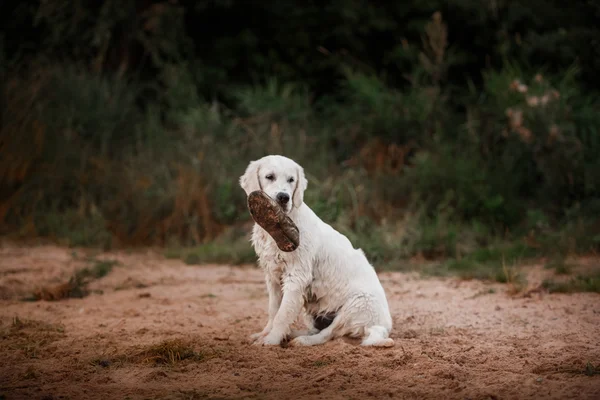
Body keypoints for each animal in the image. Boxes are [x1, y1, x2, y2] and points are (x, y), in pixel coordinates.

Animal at [239, 155, 394, 346]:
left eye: (291, 180)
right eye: (270, 177)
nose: (284, 197)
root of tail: (383, 326)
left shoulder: (296, 277)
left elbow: (282, 314)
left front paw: (271, 340)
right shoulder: (273, 276)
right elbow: (274, 310)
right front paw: (265, 334)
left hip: (356, 304)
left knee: (328, 334)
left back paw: (302, 340)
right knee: (317, 329)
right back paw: (292, 334)